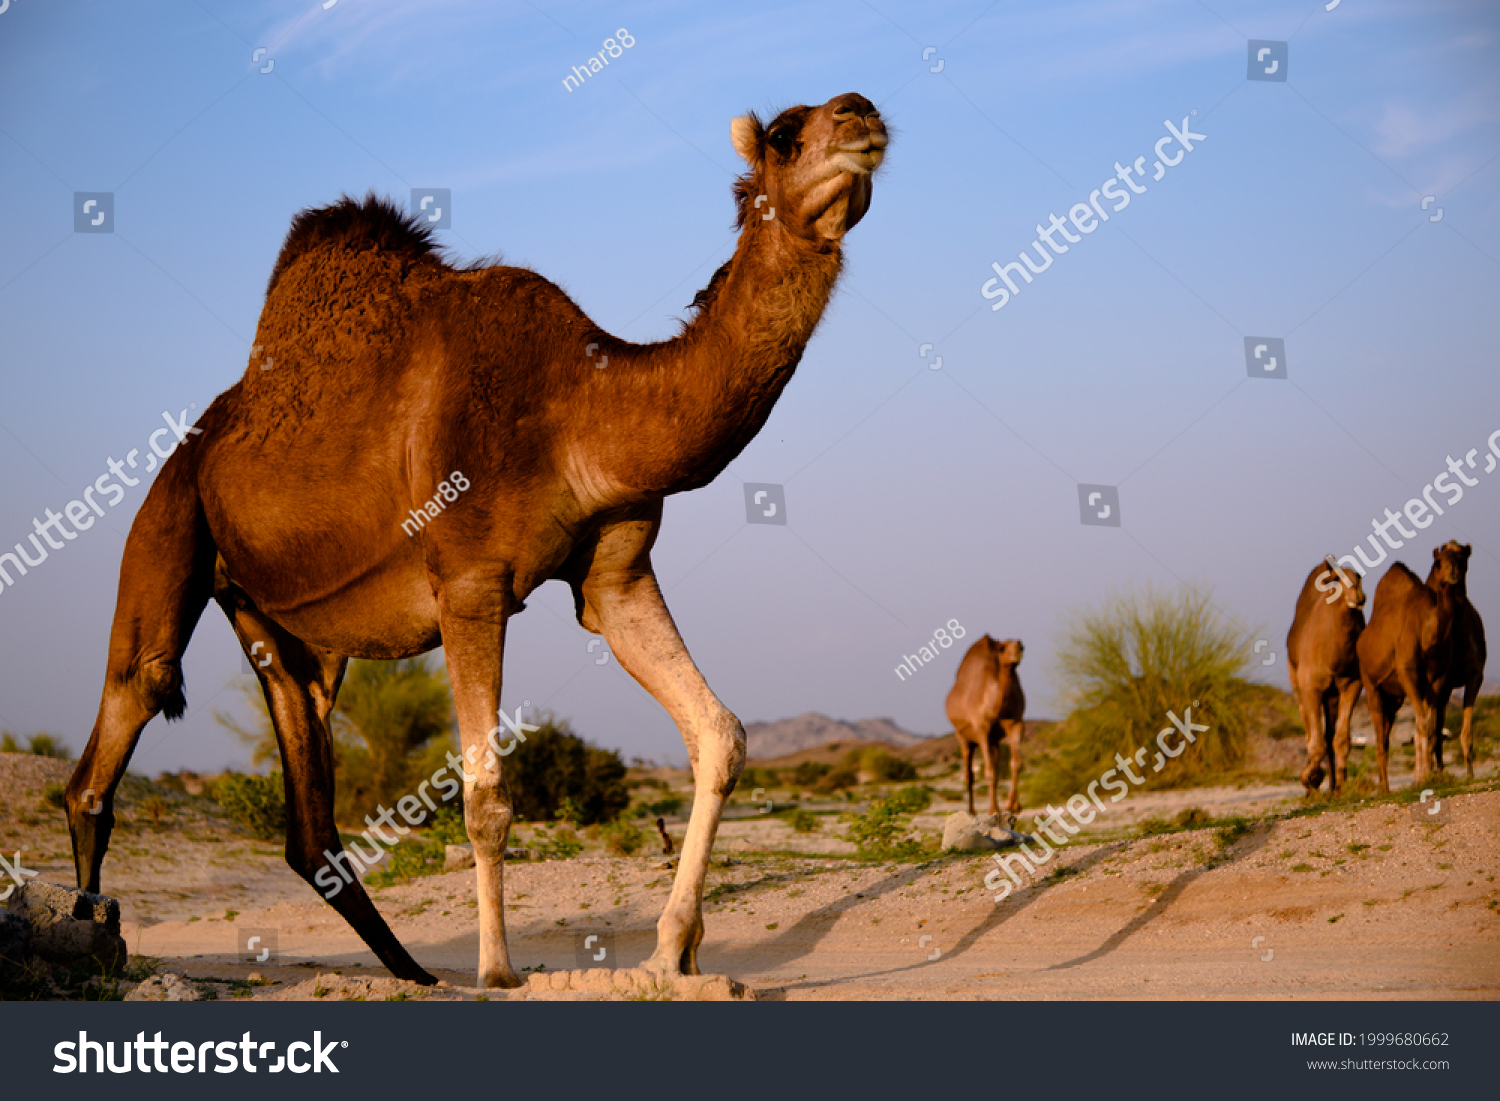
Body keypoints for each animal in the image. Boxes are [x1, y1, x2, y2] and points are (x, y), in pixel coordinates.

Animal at [64, 92, 888, 990]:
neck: (581, 406)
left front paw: (673, 948)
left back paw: (414, 973)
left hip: (278, 623)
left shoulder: (616, 576)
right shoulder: (469, 581)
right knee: (125, 710)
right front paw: (499, 970)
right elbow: (486, 791)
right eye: (785, 135)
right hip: (168, 515)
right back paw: (88, 930)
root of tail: (205, 433)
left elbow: (720, 734)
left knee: (306, 793)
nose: (862, 116)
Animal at [942, 639, 1026, 822]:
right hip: (963, 737)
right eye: (1002, 648)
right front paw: (993, 810)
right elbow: (988, 771)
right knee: (969, 774)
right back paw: (971, 811)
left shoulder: (1016, 723)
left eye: (1021, 646)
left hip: (994, 741)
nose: (1016, 654)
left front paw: (1013, 806)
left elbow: (1015, 764)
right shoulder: (981, 729)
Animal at [1284, 561, 1368, 792]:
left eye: (1358, 576)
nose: (1357, 593)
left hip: (1331, 694)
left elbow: (1341, 739)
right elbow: (1316, 741)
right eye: (1337, 579)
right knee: (1310, 732)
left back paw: (1331, 787)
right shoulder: (1310, 687)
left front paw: (1339, 787)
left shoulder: (1352, 684)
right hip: (1297, 683)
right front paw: (1310, 778)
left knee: (1330, 734)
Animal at [1356, 546, 1470, 792]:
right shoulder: (1407, 672)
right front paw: (1425, 777)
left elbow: (1429, 726)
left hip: (1394, 697)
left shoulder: (1437, 678)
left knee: (1388, 732)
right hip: (1370, 684)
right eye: (1438, 561)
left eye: (1462, 558)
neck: (1429, 636)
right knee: (1380, 735)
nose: (1453, 573)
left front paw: (1426, 777)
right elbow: (1424, 724)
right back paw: (1384, 789)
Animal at [1422, 540, 1482, 780]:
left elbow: (1466, 732)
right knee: (1434, 727)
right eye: (1439, 561)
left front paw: (1470, 773)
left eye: (1462, 558)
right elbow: (1432, 730)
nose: (1452, 572)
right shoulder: (1437, 682)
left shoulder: (1475, 675)